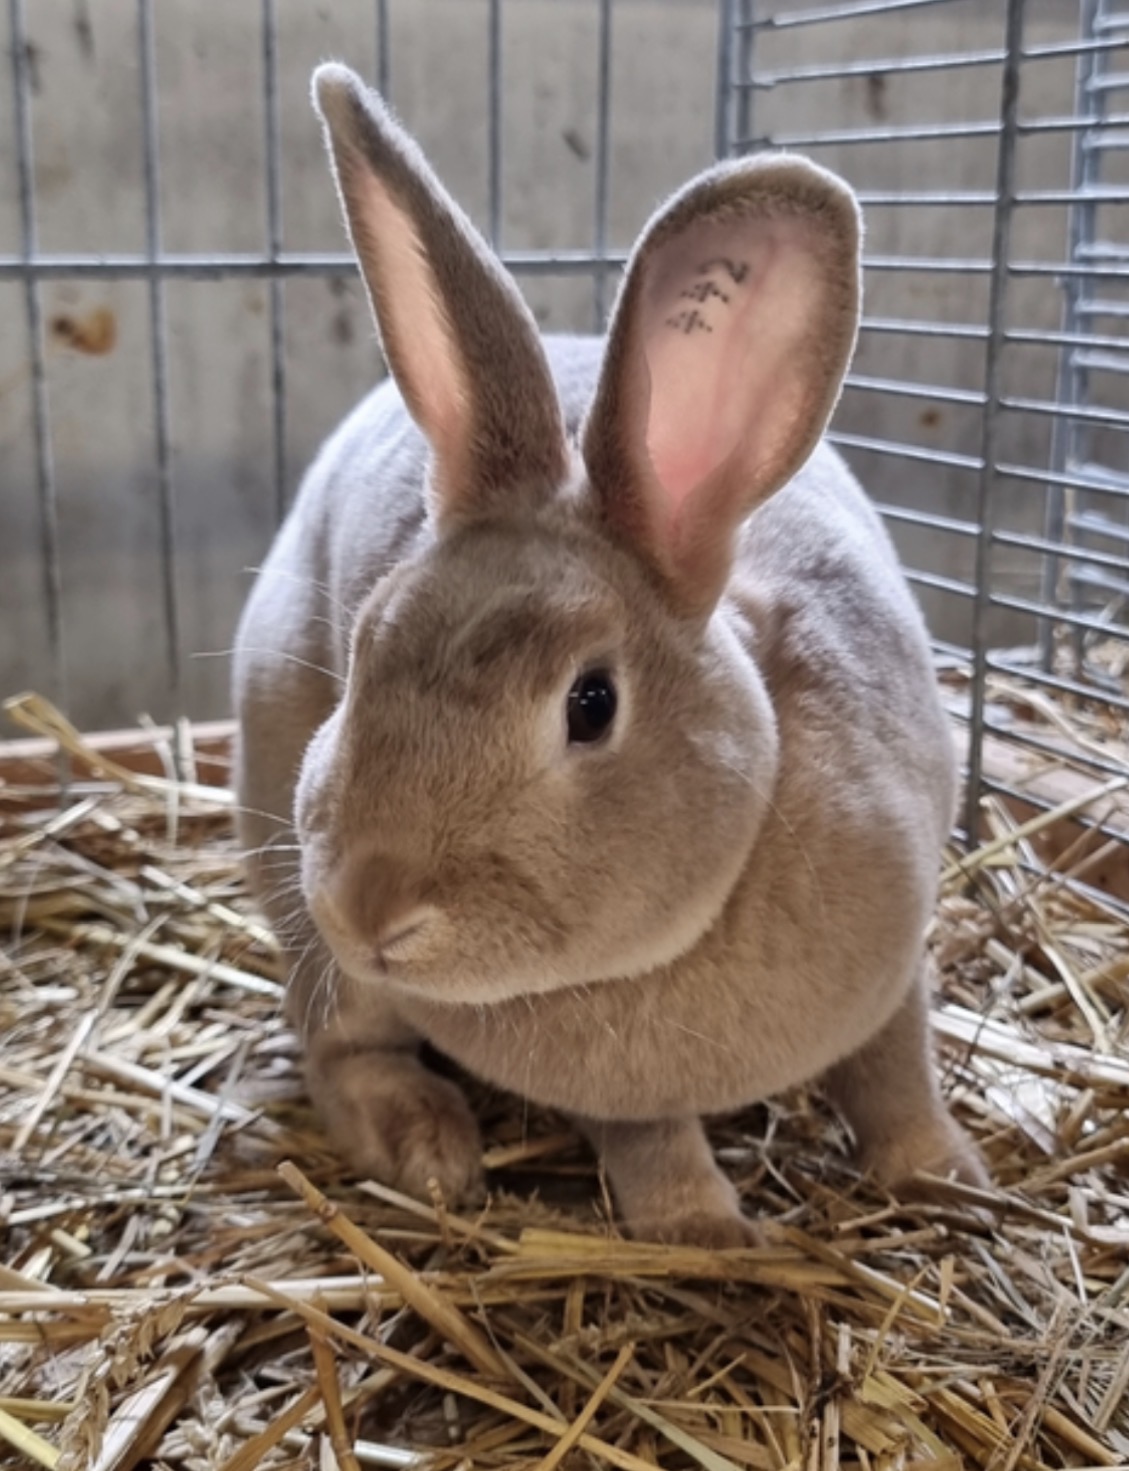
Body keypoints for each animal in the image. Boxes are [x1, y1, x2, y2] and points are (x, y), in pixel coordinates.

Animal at [233, 62, 987, 1248]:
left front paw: (945, 1179)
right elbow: (649, 1140)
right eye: (361, 654)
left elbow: (896, 1073)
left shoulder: (895, 967)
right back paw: (428, 1149)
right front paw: (707, 1236)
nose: (368, 907)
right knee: (339, 1042)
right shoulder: (619, 1096)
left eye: (590, 704)